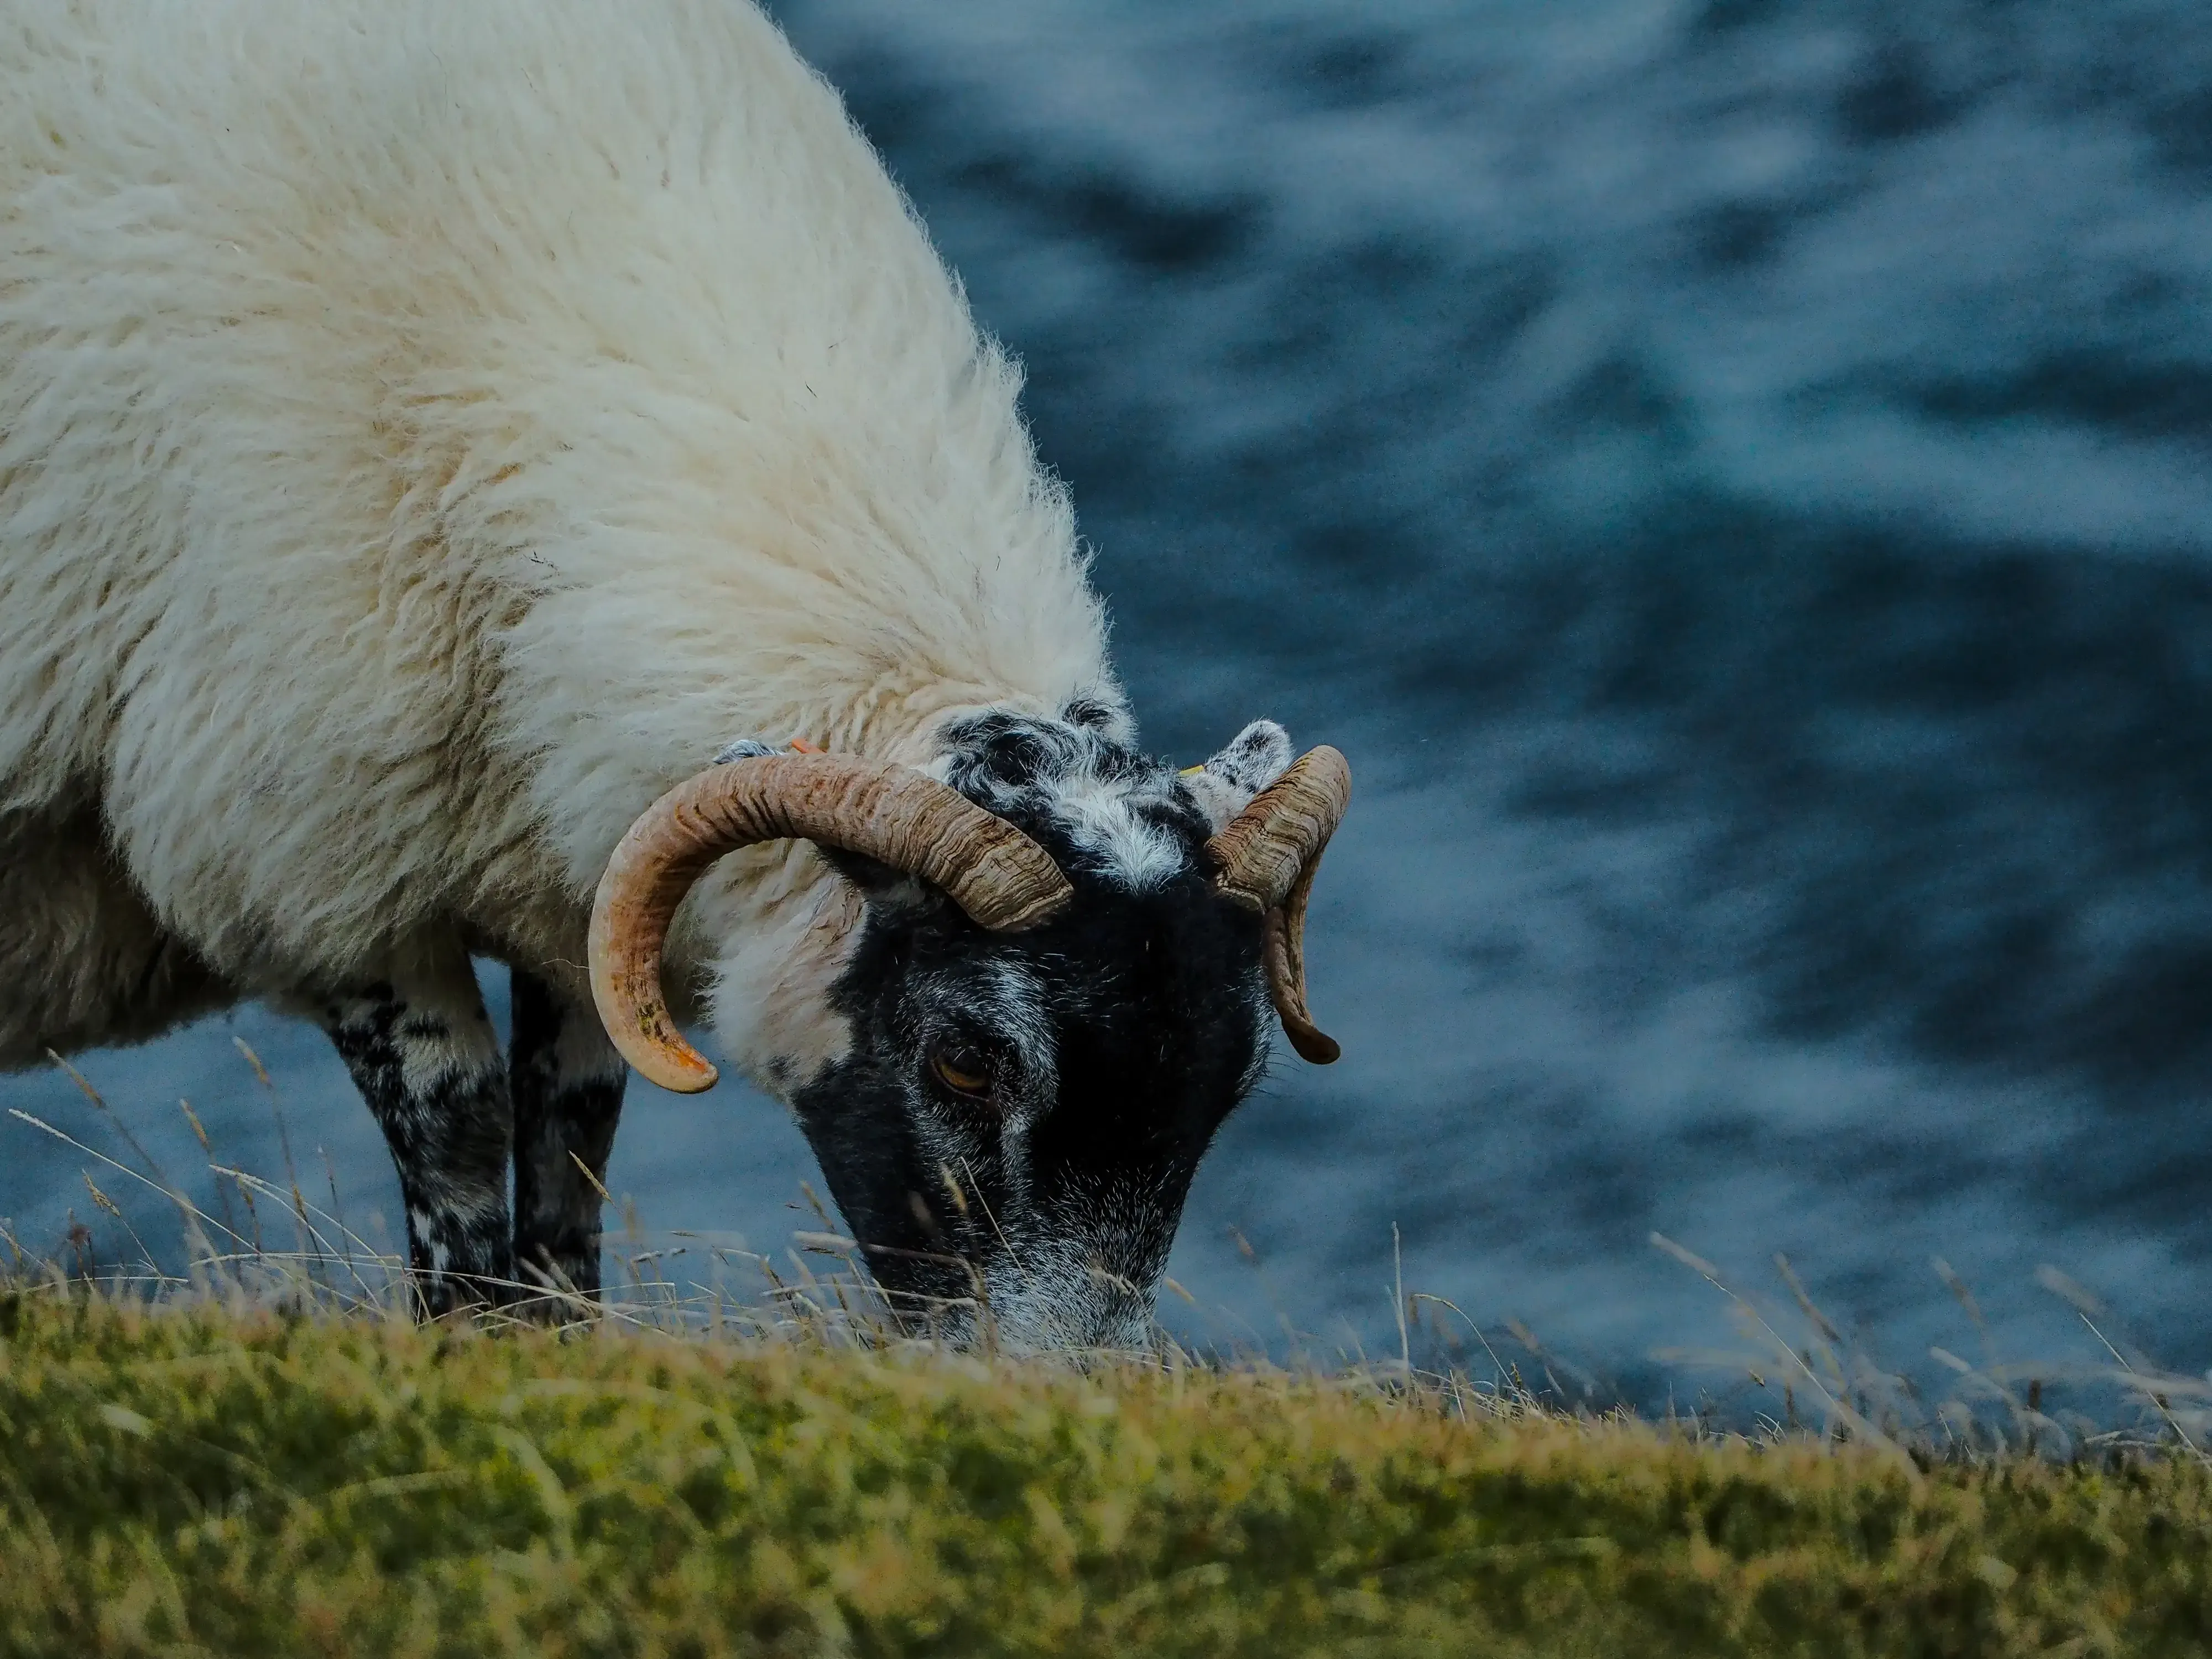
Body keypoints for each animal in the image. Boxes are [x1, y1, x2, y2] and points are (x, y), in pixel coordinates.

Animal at [0, 0, 1348, 1349]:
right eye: (965, 1060)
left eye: (1228, 1085)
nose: (1043, 1384)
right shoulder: (314, 880)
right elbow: (461, 1134)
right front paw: (470, 1337)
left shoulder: (583, 904)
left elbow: (572, 1144)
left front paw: (554, 1340)